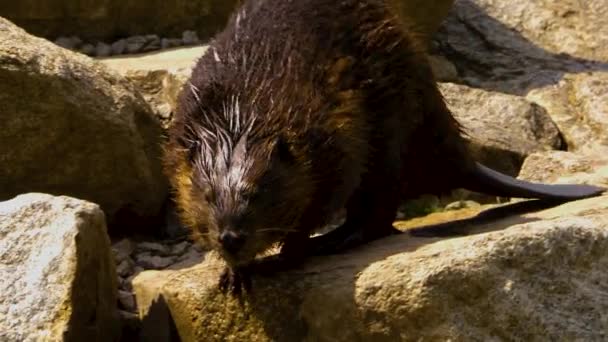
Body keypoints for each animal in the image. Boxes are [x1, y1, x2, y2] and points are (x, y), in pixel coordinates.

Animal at [164, 0, 604, 294]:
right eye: (207, 195)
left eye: (257, 193)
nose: (231, 236)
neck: (239, 117)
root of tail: (459, 156)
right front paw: (232, 274)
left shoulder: (334, 131)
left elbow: (320, 202)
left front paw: (280, 258)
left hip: (393, 126)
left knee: (377, 213)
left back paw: (335, 240)